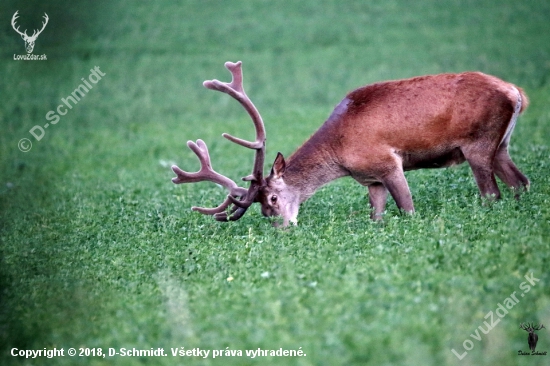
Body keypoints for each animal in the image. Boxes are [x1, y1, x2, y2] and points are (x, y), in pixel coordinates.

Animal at [171, 60, 532, 226]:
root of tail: (515, 93)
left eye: (272, 198)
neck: (340, 152)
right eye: (261, 208)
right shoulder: (370, 178)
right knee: (521, 182)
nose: (281, 227)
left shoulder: (388, 162)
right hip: (501, 144)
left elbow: (408, 209)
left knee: (492, 193)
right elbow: (377, 216)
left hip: (478, 143)